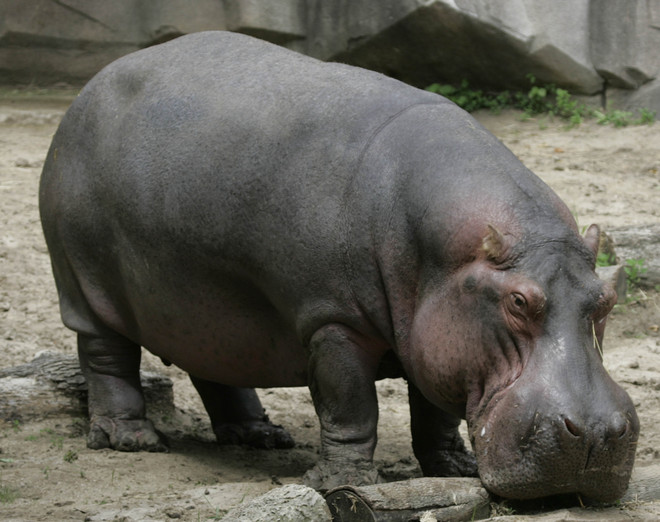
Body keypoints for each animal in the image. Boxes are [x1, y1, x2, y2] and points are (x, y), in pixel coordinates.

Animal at [39, 31, 638, 501]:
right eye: (517, 301)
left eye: (607, 298)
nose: (598, 433)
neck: (449, 259)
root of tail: (91, 86)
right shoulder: (332, 321)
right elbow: (350, 404)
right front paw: (341, 482)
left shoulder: (436, 331)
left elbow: (435, 410)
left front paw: (456, 467)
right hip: (83, 284)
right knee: (106, 357)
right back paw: (130, 439)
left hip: (203, 304)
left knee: (214, 364)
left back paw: (260, 435)